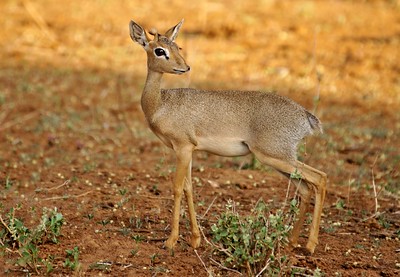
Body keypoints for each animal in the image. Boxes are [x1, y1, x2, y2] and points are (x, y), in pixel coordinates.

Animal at [130, 18, 326, 252]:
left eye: (177, 47)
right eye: (160, 50)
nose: (185, 67)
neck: (161, 103)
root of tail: (305, 115)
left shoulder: (182, 147)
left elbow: (177, 188)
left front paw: (171, 241)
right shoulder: (188, 151)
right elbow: (189, 188)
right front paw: (195, 239)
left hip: (275, 157)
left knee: (320, 178)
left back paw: (310, 245)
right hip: (281, 161)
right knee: (306, 188)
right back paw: (292, 241)